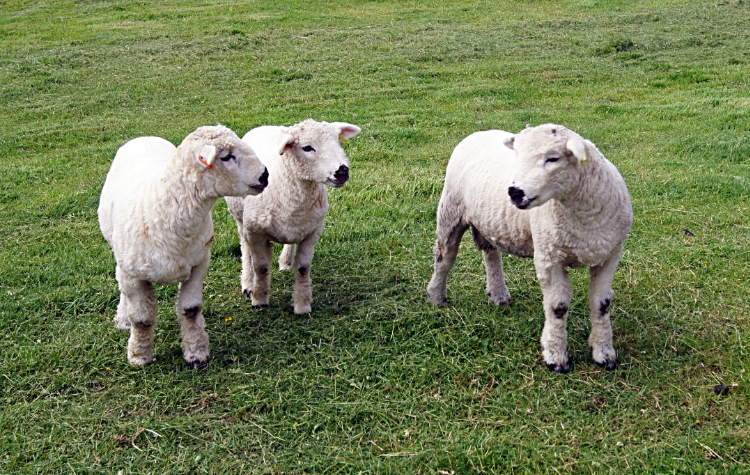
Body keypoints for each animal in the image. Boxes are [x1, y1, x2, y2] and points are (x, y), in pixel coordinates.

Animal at [98, 123, 270, 368]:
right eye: (226, 157)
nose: (265, 175)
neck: (161, 205)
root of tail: (144, 136)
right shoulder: (133, 274)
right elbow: (141, 319)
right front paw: (139, 356)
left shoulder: (198, 264)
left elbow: (190, 310)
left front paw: (196, 353)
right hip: (120, 256)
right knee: (122, 287)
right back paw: (123, 319)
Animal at [226, 118, 362, 314]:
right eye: (307, 148)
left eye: (337, 141)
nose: (342, 170)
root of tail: (264, 126)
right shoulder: (255, 232)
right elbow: (261, 268)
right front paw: (259, 299)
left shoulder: (313, 232)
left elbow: (303, 269)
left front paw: (302, 305)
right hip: (239, 217)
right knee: (245, 248)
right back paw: (247, 283)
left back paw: (285, 262)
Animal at [428, 124, 636, 374]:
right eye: (517, 155)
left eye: (553, 158)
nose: (515, 192)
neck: (585, 218)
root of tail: (481, 132)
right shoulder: (548, 256)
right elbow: (558, 307)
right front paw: (555, 356)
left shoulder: (610, 254)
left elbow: (602, 304)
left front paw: (604, 353)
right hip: (450, 209)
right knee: (444, 257)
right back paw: (436, 297)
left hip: (489, 220)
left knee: (491, 253)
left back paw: (498, 294)